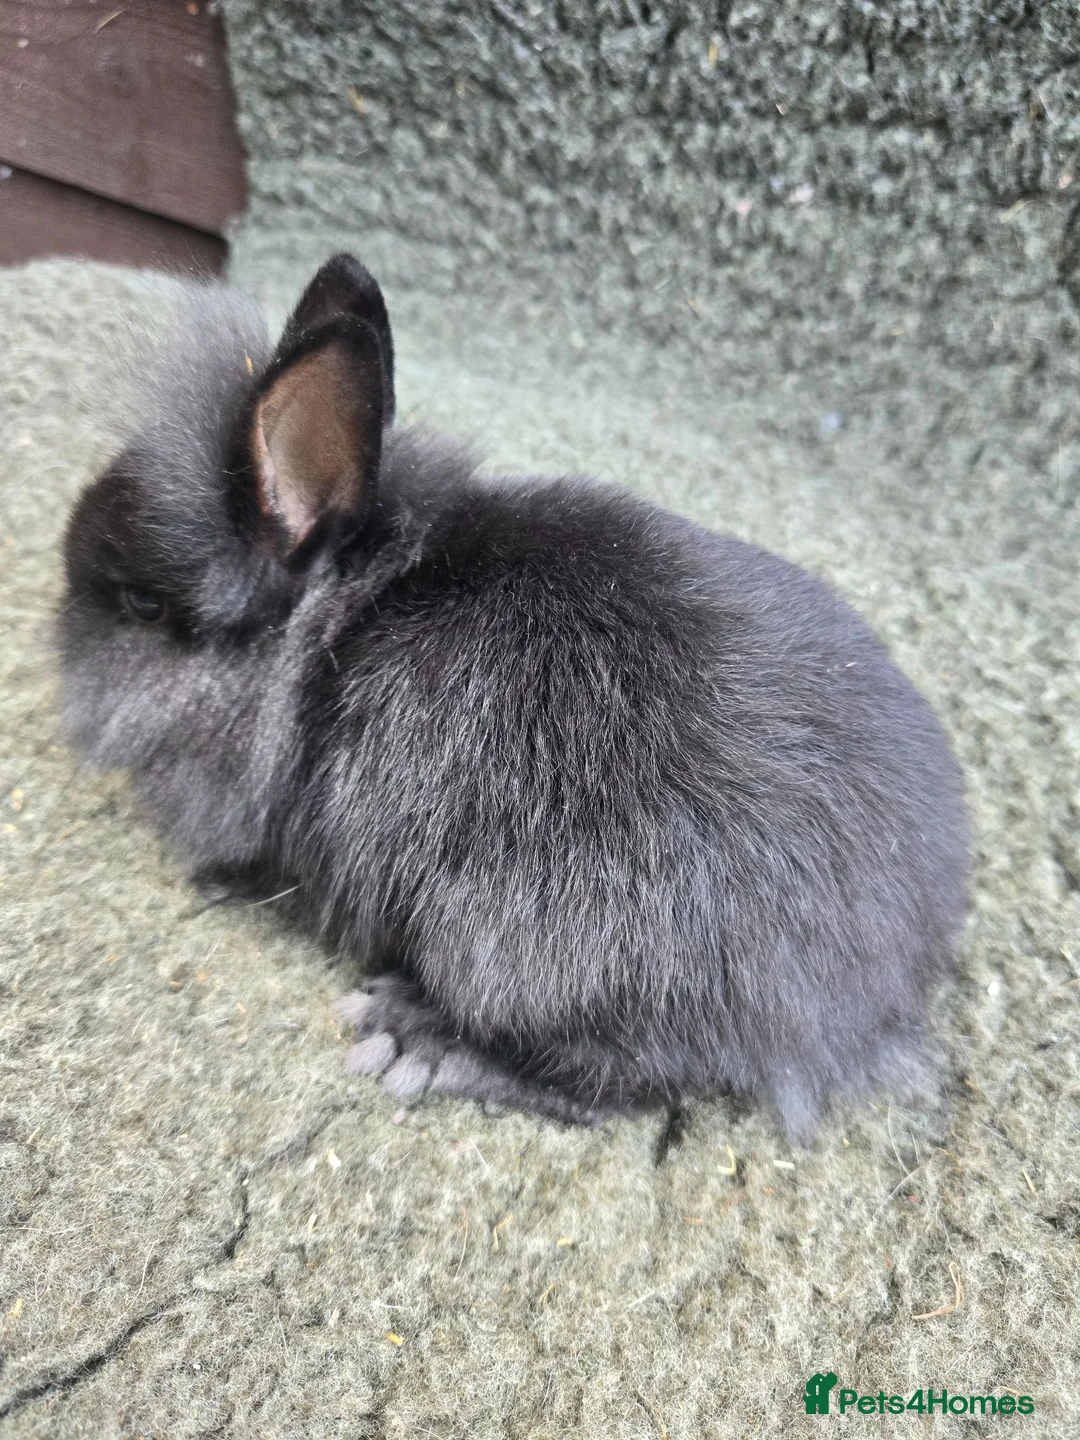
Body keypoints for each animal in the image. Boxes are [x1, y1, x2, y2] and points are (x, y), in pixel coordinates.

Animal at [59, 254, 969, 1138]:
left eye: (144, 606)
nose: (57, 642)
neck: (337, 634)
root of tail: (881, 995)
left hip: (533, 957)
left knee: (621, 1092)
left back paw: (415, 1037)